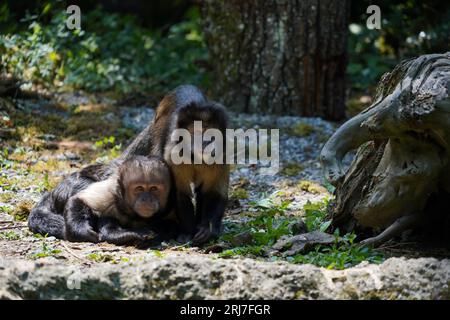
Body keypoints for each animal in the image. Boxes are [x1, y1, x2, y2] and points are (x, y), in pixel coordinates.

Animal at [28, 156, 176, 246]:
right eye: (139, 189)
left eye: (154, 189)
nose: (147, 199)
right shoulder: (111, 190)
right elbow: (78, 200)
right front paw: (83, 232)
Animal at [119, 85, 229, 245]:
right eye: (196, 134)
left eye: (211, 134)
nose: (205, 142)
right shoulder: (174, 153)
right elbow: (179, 193)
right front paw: (187, 233)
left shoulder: (222, 154)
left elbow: (214, 193)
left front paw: (207, 230)